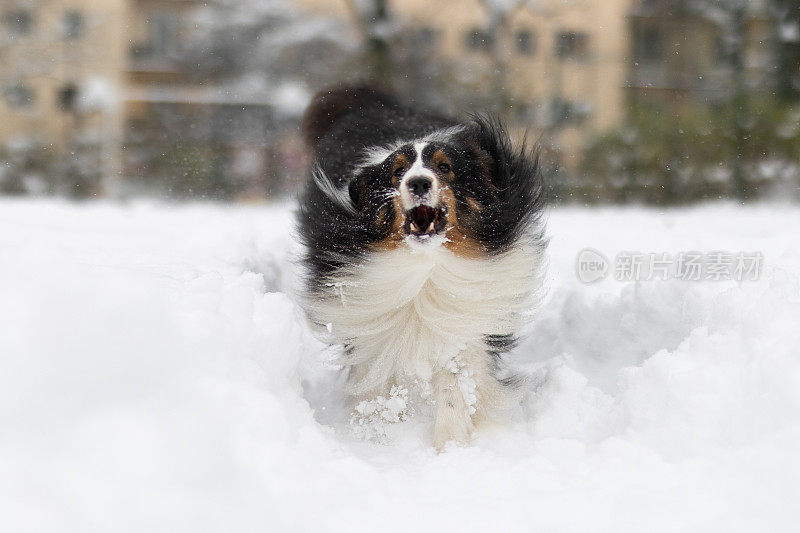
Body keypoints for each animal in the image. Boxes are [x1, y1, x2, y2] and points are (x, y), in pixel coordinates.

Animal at [296, 84, 548, 448]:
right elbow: (376, 379)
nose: (418, 182)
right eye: (397, 172)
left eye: (444, 167)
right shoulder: (367, 314)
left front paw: (450, 443)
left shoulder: (462, 317)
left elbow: (455, 383)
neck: (425, 268)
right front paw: (377, 433)